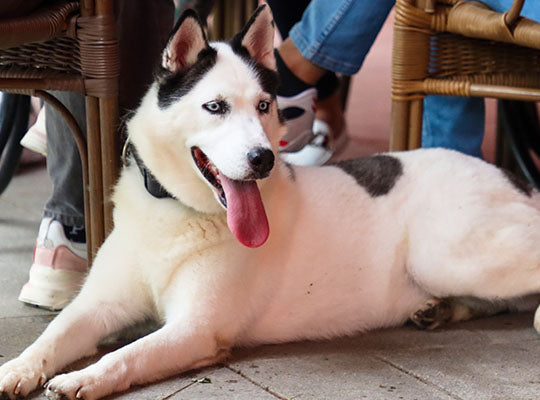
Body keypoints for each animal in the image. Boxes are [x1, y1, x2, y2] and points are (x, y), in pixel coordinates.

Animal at [1, 3, 540, 400]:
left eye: (264, 106)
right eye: (215, 107)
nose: (262, 159)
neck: (177, 214)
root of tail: (512, 178)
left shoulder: (195, 329)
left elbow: (124, 355)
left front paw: (83, 377)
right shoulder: (98, 305)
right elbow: (52, 335)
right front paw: (18, 369)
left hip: (450, 256)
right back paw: (440, 311)